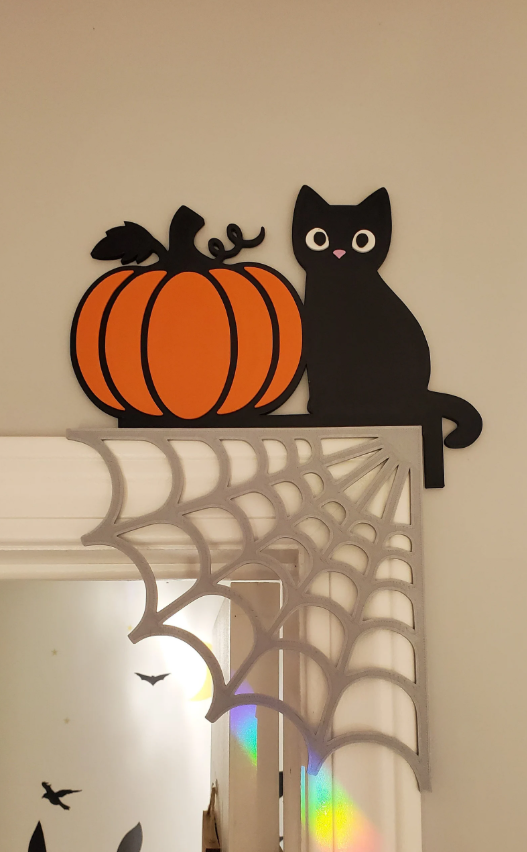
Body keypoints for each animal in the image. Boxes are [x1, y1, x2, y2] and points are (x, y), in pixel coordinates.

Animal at [292, 185, 482, 487]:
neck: (340, 282)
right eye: (319, 238)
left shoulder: (323, 350)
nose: (338, 252)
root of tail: (422, 394)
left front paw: (319, 409)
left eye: (362, 240)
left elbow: (322, 380)